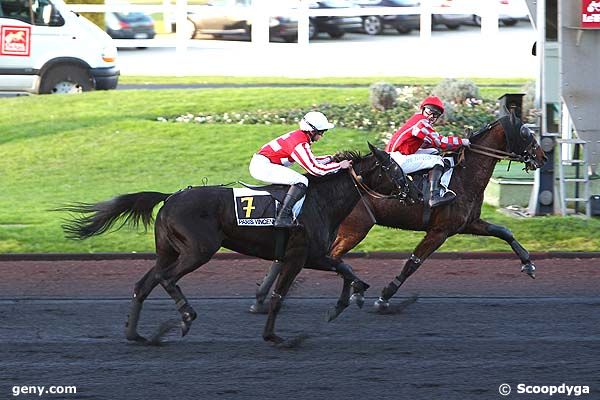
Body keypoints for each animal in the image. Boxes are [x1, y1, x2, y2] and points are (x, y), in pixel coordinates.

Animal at [59, 144, 408, 344]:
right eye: (393, 169)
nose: (413, 192)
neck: (319, 201)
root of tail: (170, 197)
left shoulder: (311, 256)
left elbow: (347, 270)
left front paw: (347, 301)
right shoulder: (301, 256)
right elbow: (284, 293)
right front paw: (273, 335)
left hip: (167, 251)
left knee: (144, 284)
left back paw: (136, 334)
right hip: (198, 251)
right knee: (167, 279)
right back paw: (185, 317)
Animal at [253, 112, 548, 312]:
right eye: (526, 133)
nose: (543, 157)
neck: (464, 175)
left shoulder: (467, 223)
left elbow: (504, 231)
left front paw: (529, 264)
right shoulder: (440, 230)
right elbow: (413, 262)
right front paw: (384, 296)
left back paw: (262, 298)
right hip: (355, 228)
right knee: (330, 257)